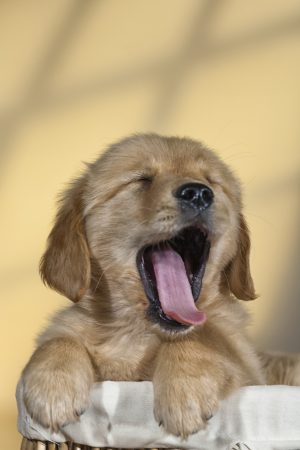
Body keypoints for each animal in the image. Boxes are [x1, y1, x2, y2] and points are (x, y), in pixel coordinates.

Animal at [21, 134, 300, 436]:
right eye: (143, 179)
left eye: (211, 181)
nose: (198, 193)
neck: (137, 332)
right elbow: (58, 339)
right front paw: (52, 388)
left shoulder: (248, 364)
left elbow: (200, 337)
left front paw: (185, 391)